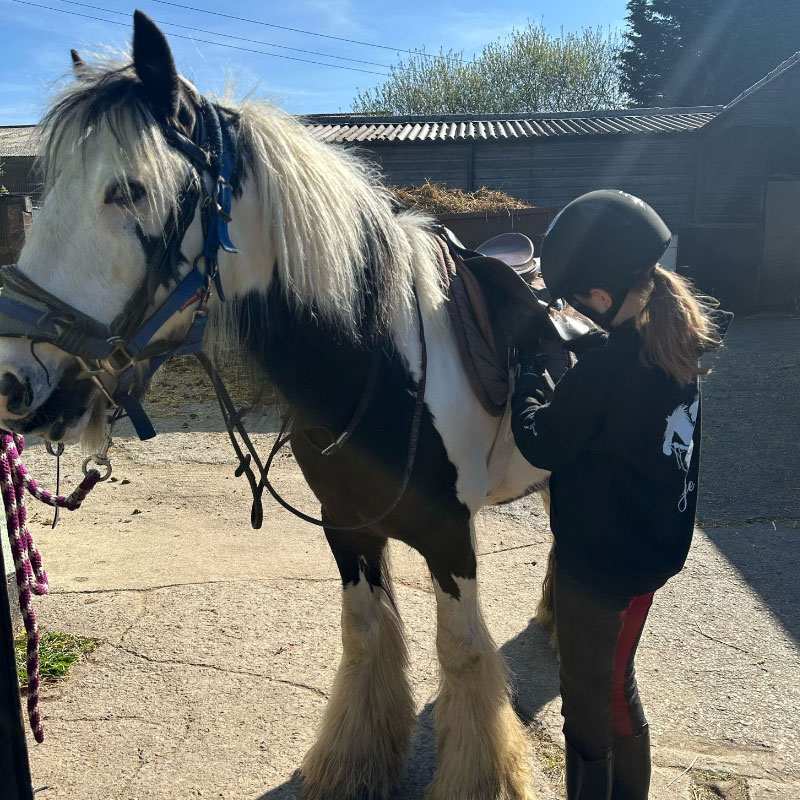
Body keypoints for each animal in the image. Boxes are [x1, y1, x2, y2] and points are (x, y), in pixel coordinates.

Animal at [0, 12, 559, 799]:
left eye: (129, 191)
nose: (14, 381)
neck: (376, 361)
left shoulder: (450, 537)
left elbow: (464, 655)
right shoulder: (348, 527)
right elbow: (366, 637)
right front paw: (353, 763)